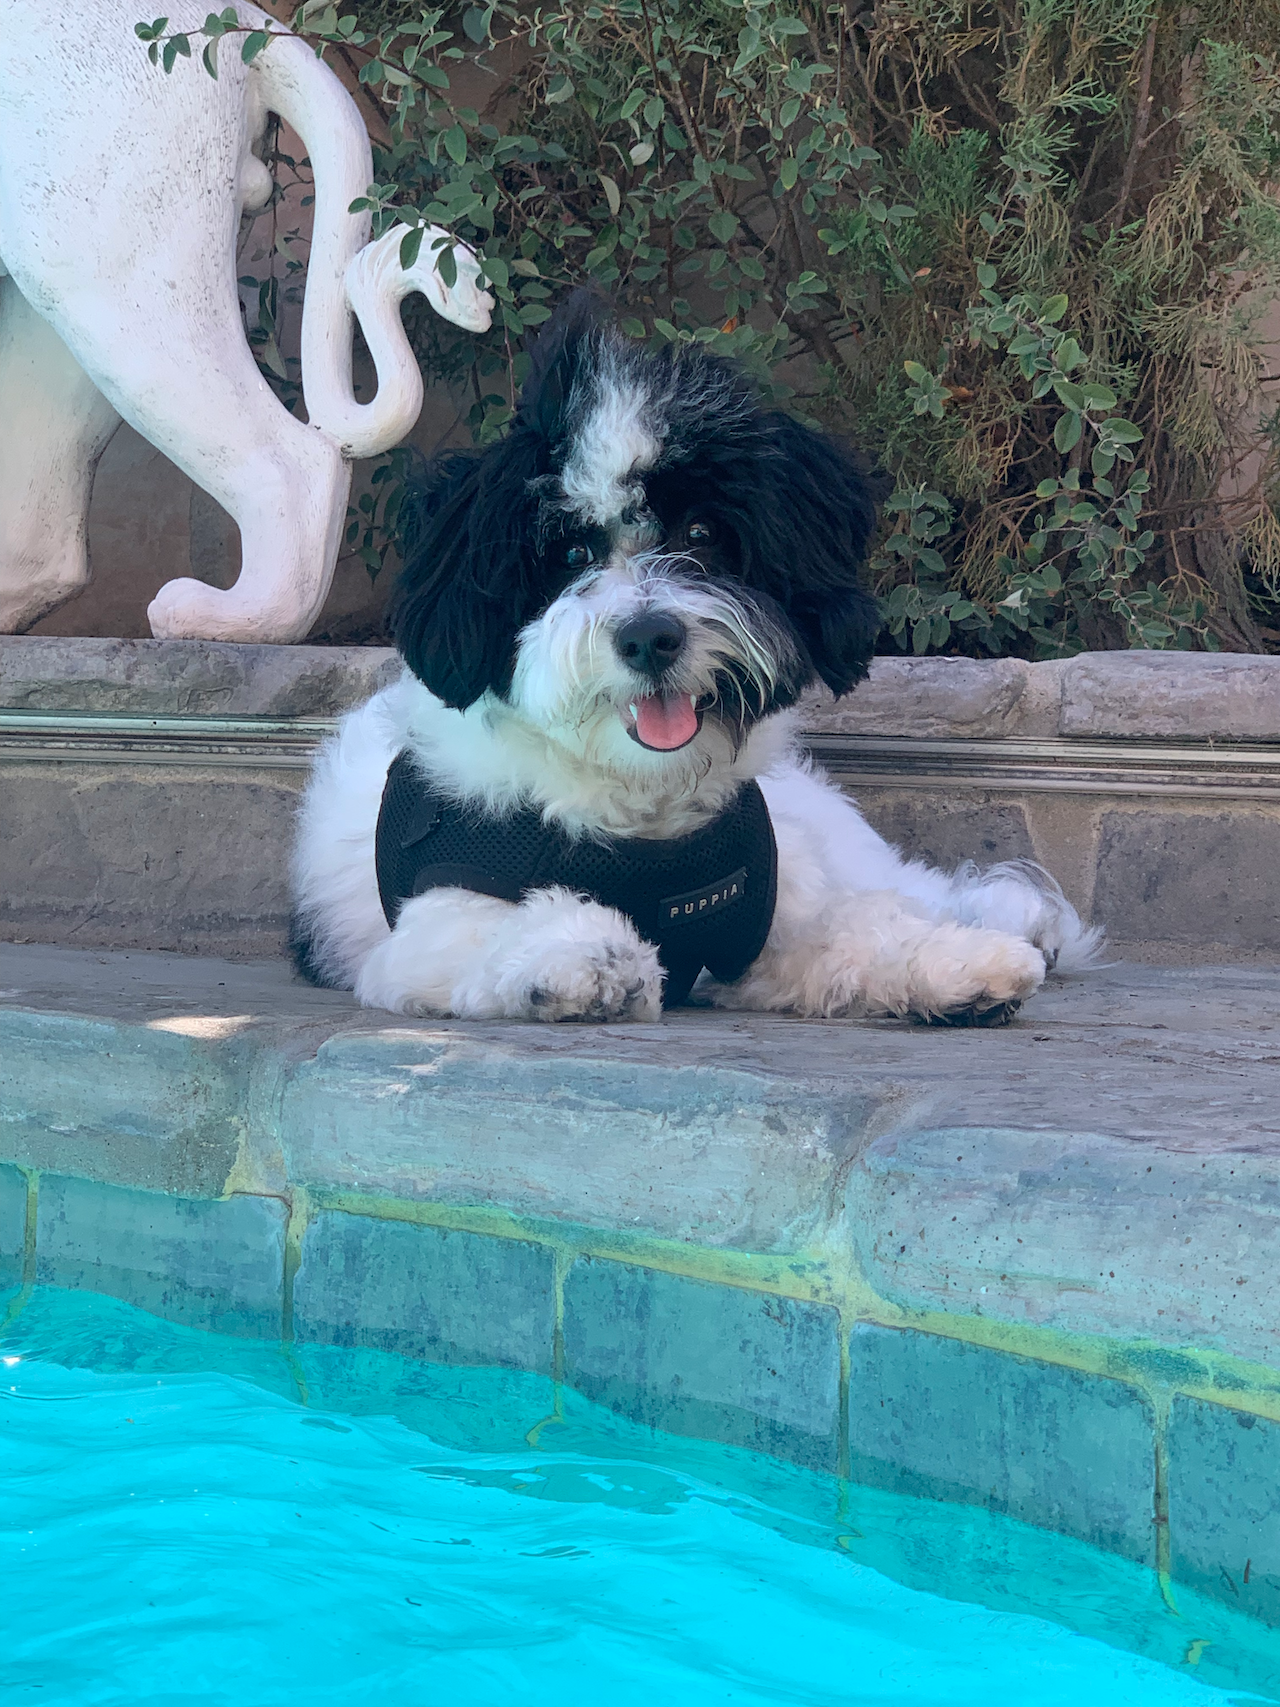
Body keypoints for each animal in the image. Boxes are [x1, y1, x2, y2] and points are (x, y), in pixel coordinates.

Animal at [293, 298, 1105, 1017]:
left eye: (702, 533)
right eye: (571, 553)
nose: (650, 637)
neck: (639, 810)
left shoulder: (766, 911)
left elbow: (855, 926)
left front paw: (962, 963)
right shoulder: (421, 929)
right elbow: (494, 921)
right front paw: (583, 955)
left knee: (899, 884)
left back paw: (1008, 920)